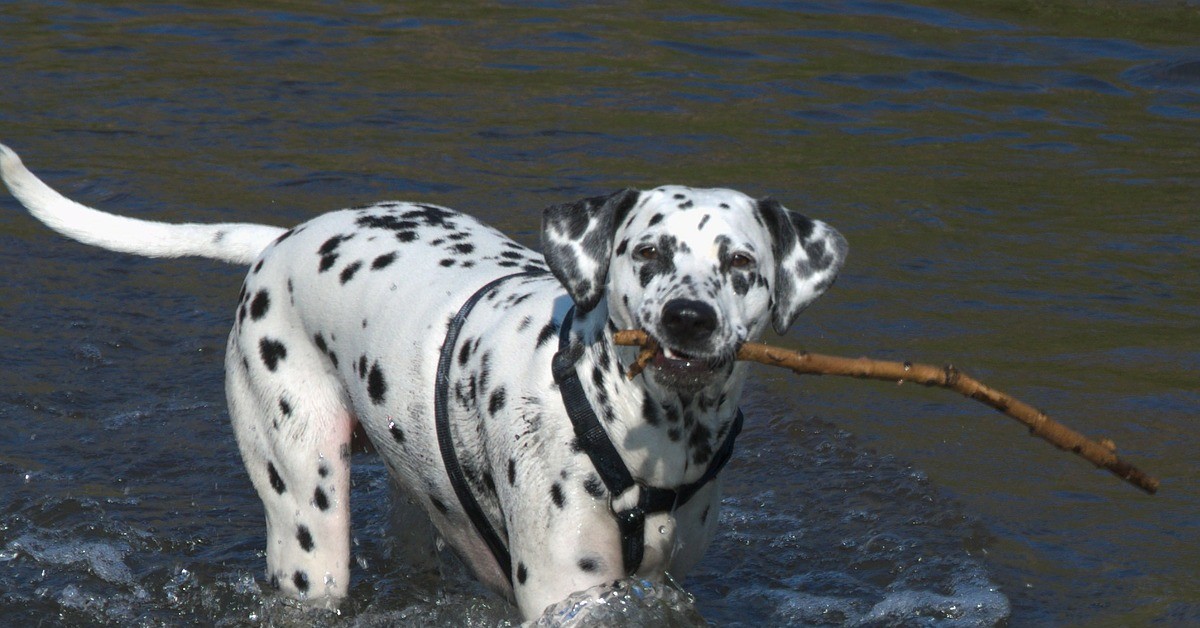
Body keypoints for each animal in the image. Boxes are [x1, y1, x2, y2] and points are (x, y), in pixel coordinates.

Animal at [0, 145, 844, 619]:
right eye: (649, 255)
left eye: (741, 265)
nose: (688, 318)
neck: (647, 442)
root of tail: (284, 240)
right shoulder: (565, 596)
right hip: (307, 531)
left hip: (416, 500)